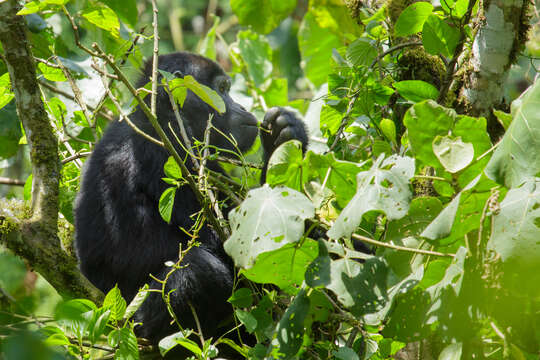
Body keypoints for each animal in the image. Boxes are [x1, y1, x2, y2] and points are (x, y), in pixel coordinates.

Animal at [73, 52, 306, 344]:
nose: (241, 105)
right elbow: (234, 247)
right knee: (196, 270)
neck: (160, 113)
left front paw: (283, 136)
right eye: (222, 89)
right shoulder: (171, 149)